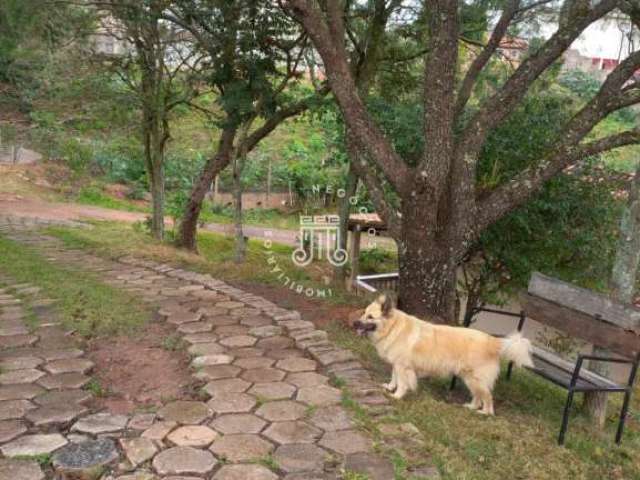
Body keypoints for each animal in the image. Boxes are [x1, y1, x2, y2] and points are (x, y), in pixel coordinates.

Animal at [352, 294, 532, 414]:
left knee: (487, 396)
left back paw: (484, 412)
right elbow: (394, 377)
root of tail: (493, 341)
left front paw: (396, 395)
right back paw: (471, 407)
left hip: (476, 379)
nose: (354, 324)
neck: (393, 327)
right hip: (469, 378)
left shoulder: (403, 366)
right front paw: (390, 387)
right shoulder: (397, 365)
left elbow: (402, 383)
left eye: (370, 317)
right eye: (363, 313)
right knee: (477, 396)